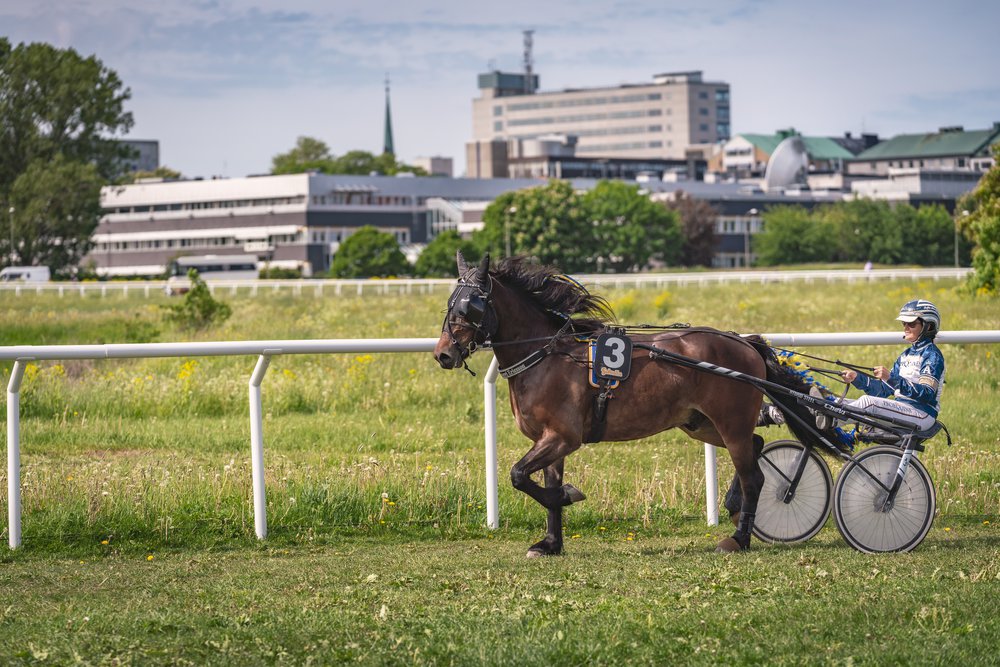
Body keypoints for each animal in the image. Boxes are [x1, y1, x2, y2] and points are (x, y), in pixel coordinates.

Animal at [438, 253, 828, 556]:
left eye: (471, 306)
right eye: (449, 303)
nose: (443, 354)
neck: (546, 357)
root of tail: (745, 343)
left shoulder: (563, 437)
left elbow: (519, 475)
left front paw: (568, 495)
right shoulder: (549, 441)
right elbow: (543, 484)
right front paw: (550, 542)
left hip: (730, 423)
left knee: (753, 477)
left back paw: (739, 537)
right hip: (700, 423)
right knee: (756, 445)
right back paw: (734, 508)